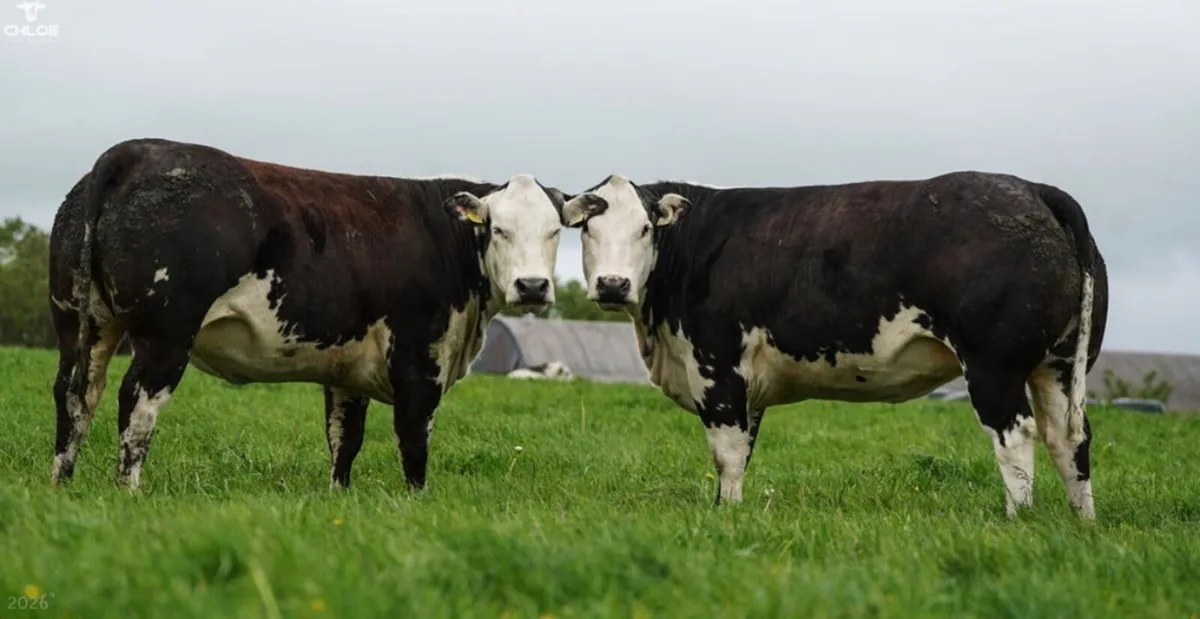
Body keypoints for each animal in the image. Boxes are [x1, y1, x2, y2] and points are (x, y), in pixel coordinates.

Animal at [47, 137, 570, 492]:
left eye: (555, 231)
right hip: (165, 333)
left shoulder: (348, 368)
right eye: (498, 229)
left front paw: (339, 497)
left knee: (75, 394)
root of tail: (133, 151)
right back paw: (128, 491)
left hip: (79, 322)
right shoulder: (420, 361)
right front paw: (416, 501)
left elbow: (344, 438)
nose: (532, 286)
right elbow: (413, 440)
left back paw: (62, 484)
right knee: (136, 403)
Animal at [560, 172, 1108, 519]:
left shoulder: (717, 367)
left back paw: (1018, 519)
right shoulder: (749, 387)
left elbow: (727, 453)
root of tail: (1034, 189)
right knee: (1069, 439)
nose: (613, 285)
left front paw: (726, 517)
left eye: (645, 229)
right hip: (1057, 365)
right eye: (587, 229)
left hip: (994, 366)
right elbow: (743, 451)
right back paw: (1081, 522)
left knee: (1016, 438)